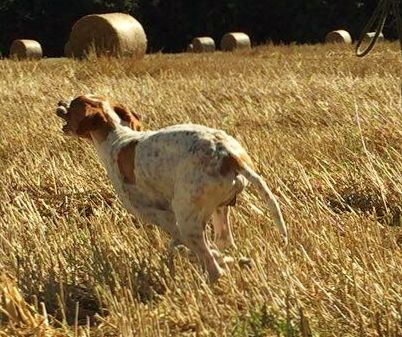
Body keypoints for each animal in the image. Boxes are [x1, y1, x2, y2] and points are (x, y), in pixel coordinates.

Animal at [56, 94, 288, 280]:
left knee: (213, 265)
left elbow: (180, 243)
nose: (59, 103)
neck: (117, 137)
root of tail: (231, 156)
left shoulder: (157, 215)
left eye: (74, 102)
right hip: (218, 209)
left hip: (187, 219)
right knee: (223, 241)